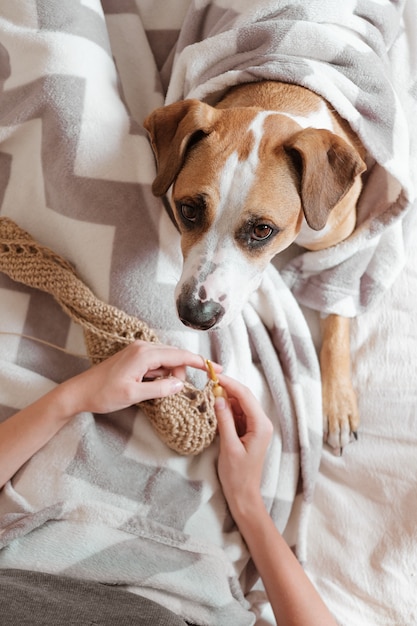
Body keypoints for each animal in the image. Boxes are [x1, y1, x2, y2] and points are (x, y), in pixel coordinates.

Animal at [143, 81, 364, 448]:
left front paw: (339, 402)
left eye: (262, 230)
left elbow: (335, 317)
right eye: (187, 209)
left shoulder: (344, 244)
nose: (195, 315)